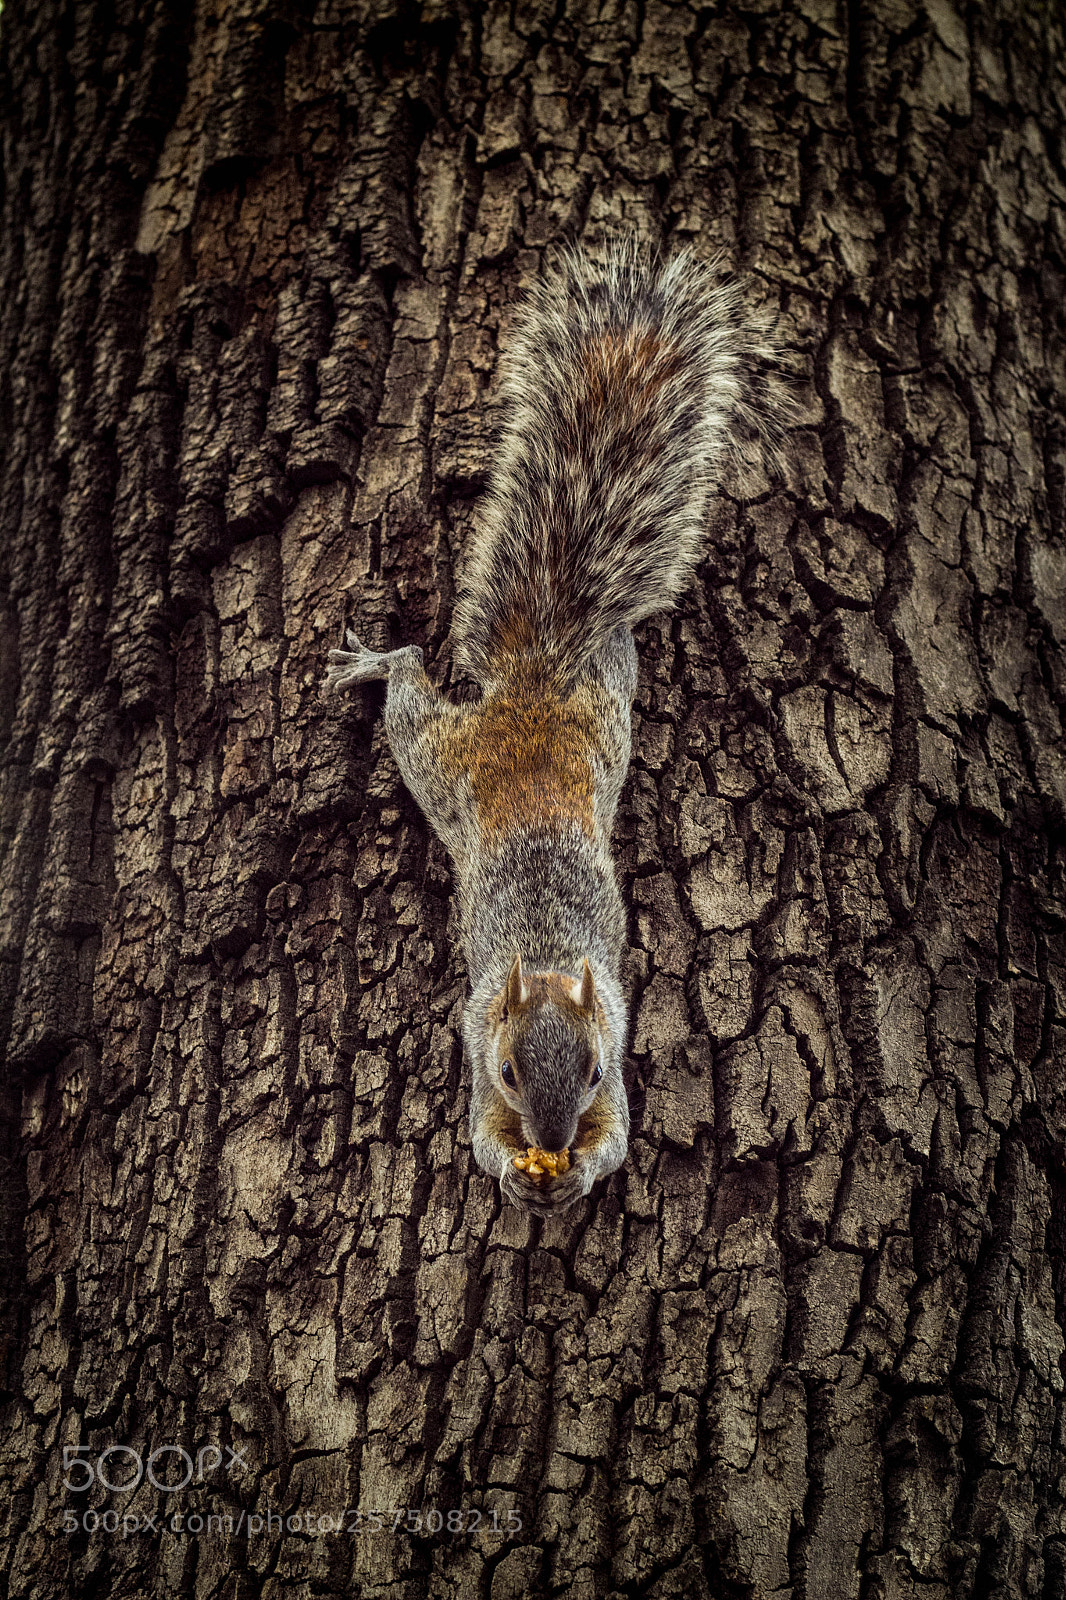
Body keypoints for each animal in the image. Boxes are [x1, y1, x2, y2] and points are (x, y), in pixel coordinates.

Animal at [327, 239, 790, 1214]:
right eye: (506, 1072)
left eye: (591, 1071)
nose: (548, 1141)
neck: (541, 958)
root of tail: (534, 687)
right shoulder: (472, 1045)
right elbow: (477, 1135)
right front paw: (516, 1170)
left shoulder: (618, 1042)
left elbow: (616, 1137)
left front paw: (578, 1172)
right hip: (442, 755)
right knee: (411, 678)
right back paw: (371, 663)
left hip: (595, 706)